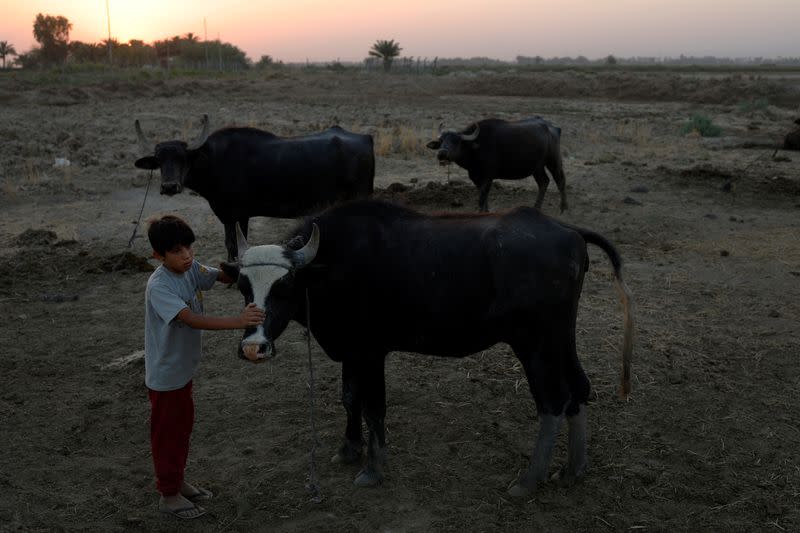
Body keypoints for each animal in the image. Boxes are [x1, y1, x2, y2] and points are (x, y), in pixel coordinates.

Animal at [134, 114, 376, 260]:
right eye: (160, 160)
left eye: (182, 158)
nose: (169, 186)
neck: (214, 161)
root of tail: (366, 138)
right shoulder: (227, 215)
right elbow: (229, 243)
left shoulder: (239, 215)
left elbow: (238, 244)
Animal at [222, 197, 636, 496]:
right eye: (243, 286)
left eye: (284, 287)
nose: (254, 348)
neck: (332, 265)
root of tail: (567, 230)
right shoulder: (352, 353)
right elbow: (349, 398)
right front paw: (349, 449)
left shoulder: (371, 354)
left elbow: (373, 407)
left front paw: (373, 469)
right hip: (560, 340)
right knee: (578, 389)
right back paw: (572, 470)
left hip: (534, 346)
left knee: (553, 401)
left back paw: (528, 481)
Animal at [424, 119, 568, 214]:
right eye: (441, 141)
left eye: (456, 141)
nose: (442, 153)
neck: (477, 148)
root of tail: (553, 128)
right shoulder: (476, 177)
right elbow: (483, 195)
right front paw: (486, 211)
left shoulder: (488, 176)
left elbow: (482, 196)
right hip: (537, 167)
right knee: (544, 182)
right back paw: (536, 208)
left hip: (553, 161)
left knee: (560, 181)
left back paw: (563, 208)